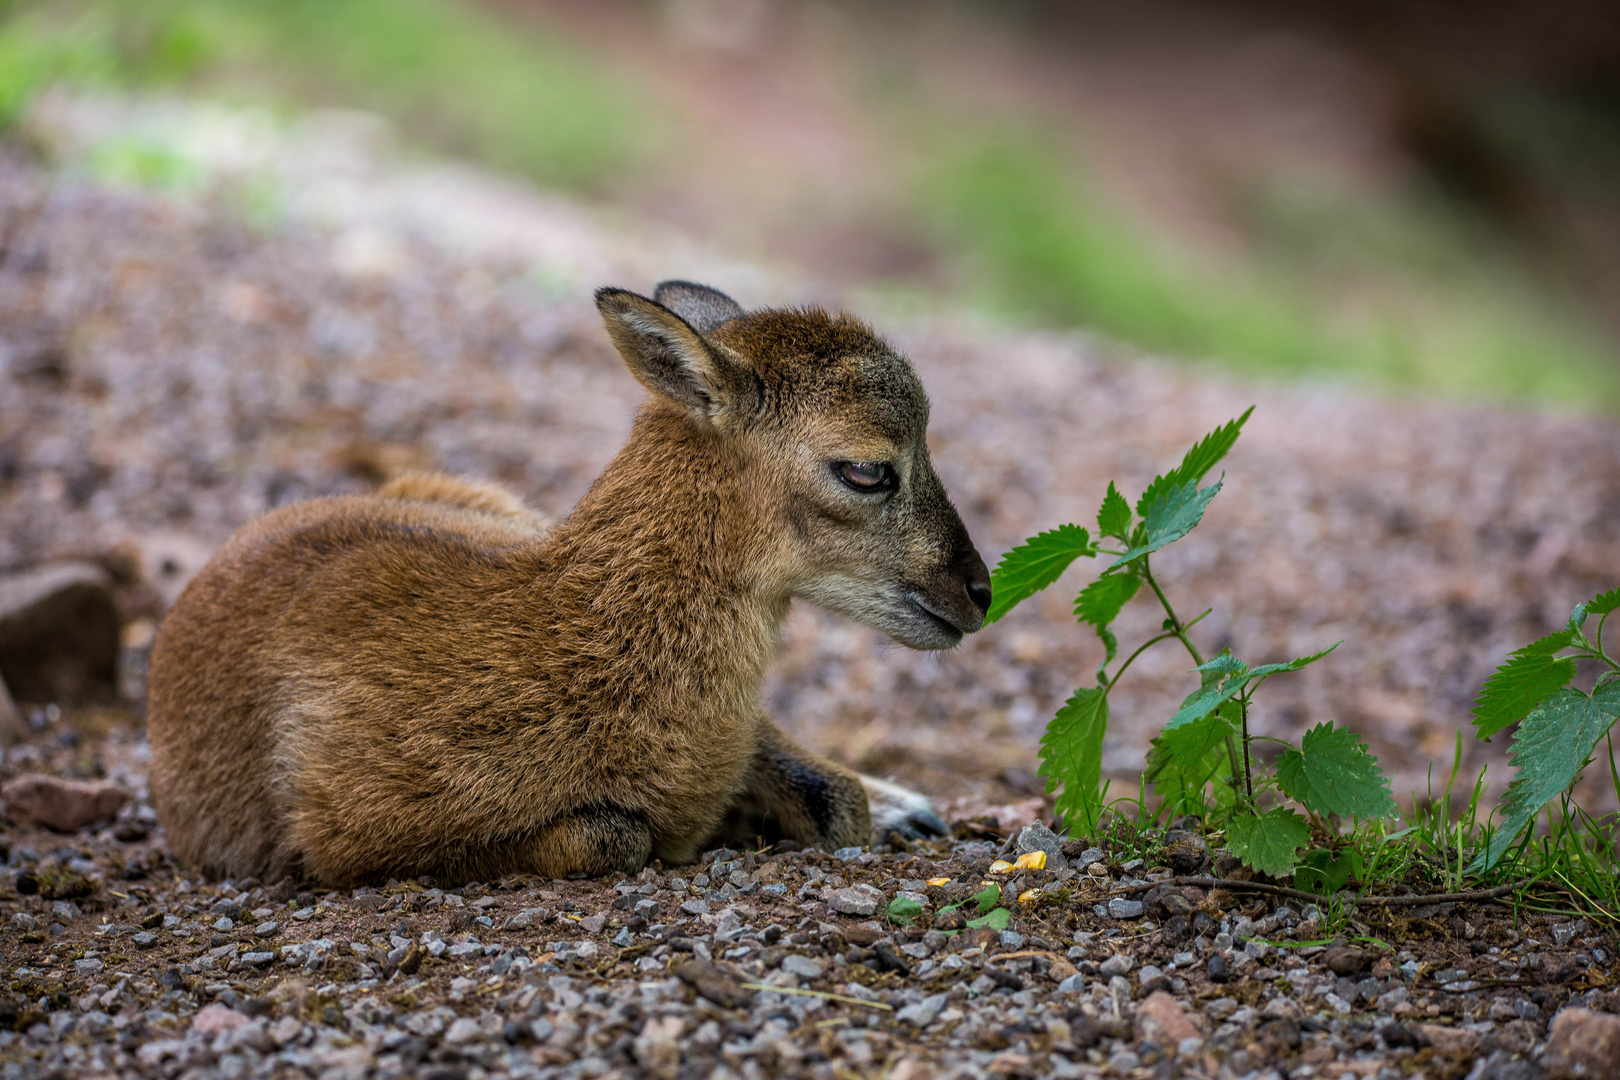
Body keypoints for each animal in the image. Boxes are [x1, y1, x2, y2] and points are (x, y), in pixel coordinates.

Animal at [145, 281, 991, 887]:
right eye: (865, 469)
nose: (978, 593)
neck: (561, 635)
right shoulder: (341, 832)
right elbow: (611, 833)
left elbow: (832, 801)